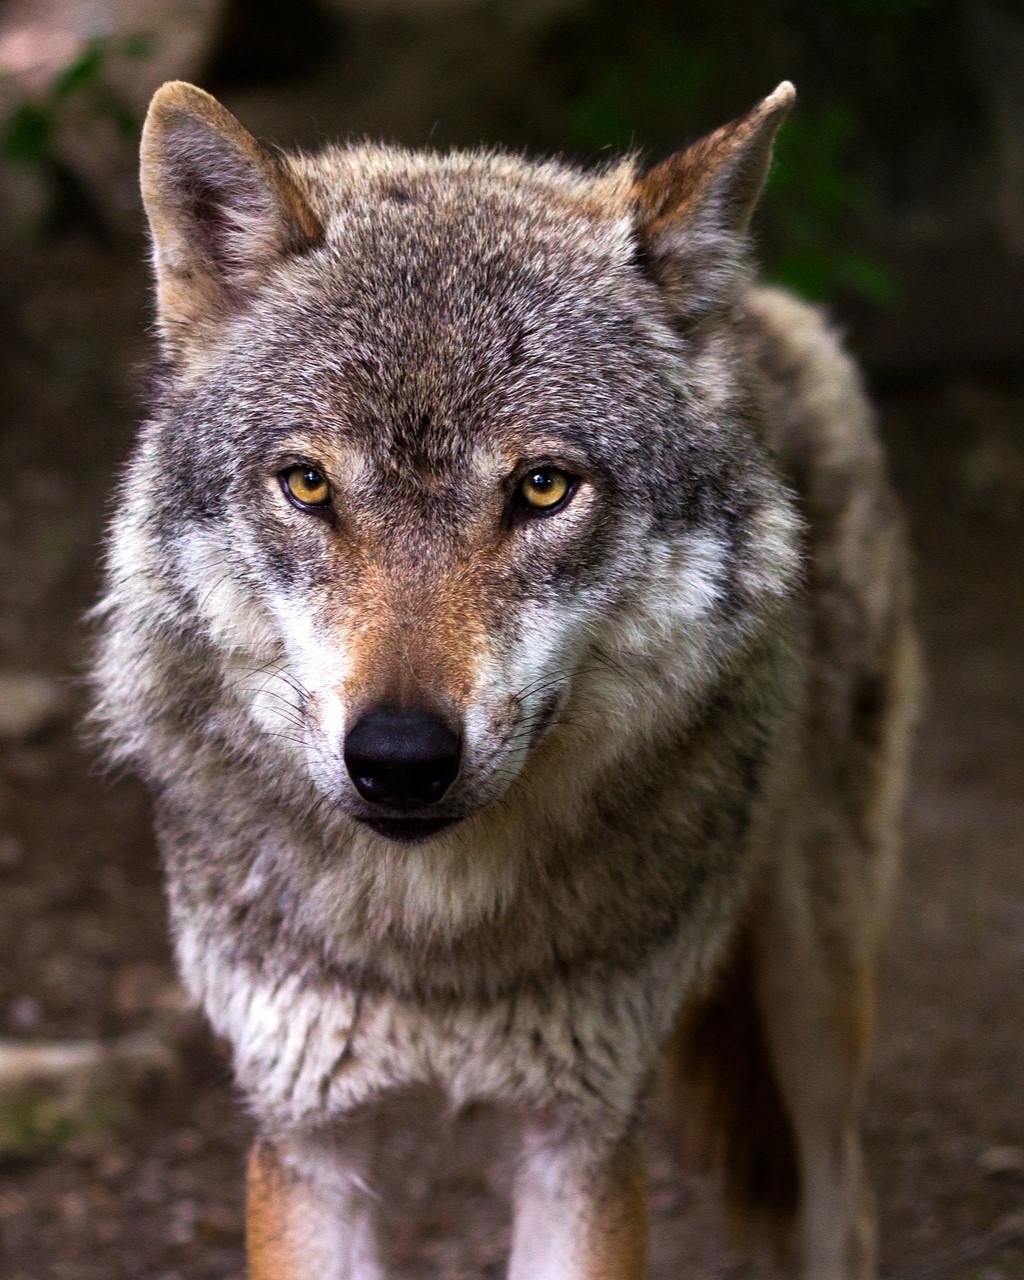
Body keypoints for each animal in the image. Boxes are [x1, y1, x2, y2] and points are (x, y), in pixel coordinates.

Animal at [90, 82, 921, 1280]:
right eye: (307, 484)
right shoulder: (307, 1136)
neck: (435, 945)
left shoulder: (581, 1134)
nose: (398, 758)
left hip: (815, 989)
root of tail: (758, 305)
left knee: (841, 1199)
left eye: (541, 487)